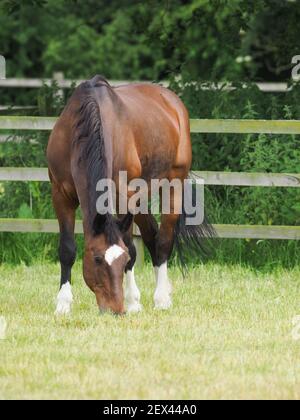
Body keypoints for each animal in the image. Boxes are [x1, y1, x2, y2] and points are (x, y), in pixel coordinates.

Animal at [47, 76, 212, 316]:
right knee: (152, 236)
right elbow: (67, 249)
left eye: (122, 259)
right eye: (97, 259)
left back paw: (161, 298)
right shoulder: (61, 194)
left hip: (172, 184)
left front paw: (133, 301)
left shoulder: (124, 194)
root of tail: (172, 101)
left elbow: (132, 248)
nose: (115, 309)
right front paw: (63, 304)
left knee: (163, 240)